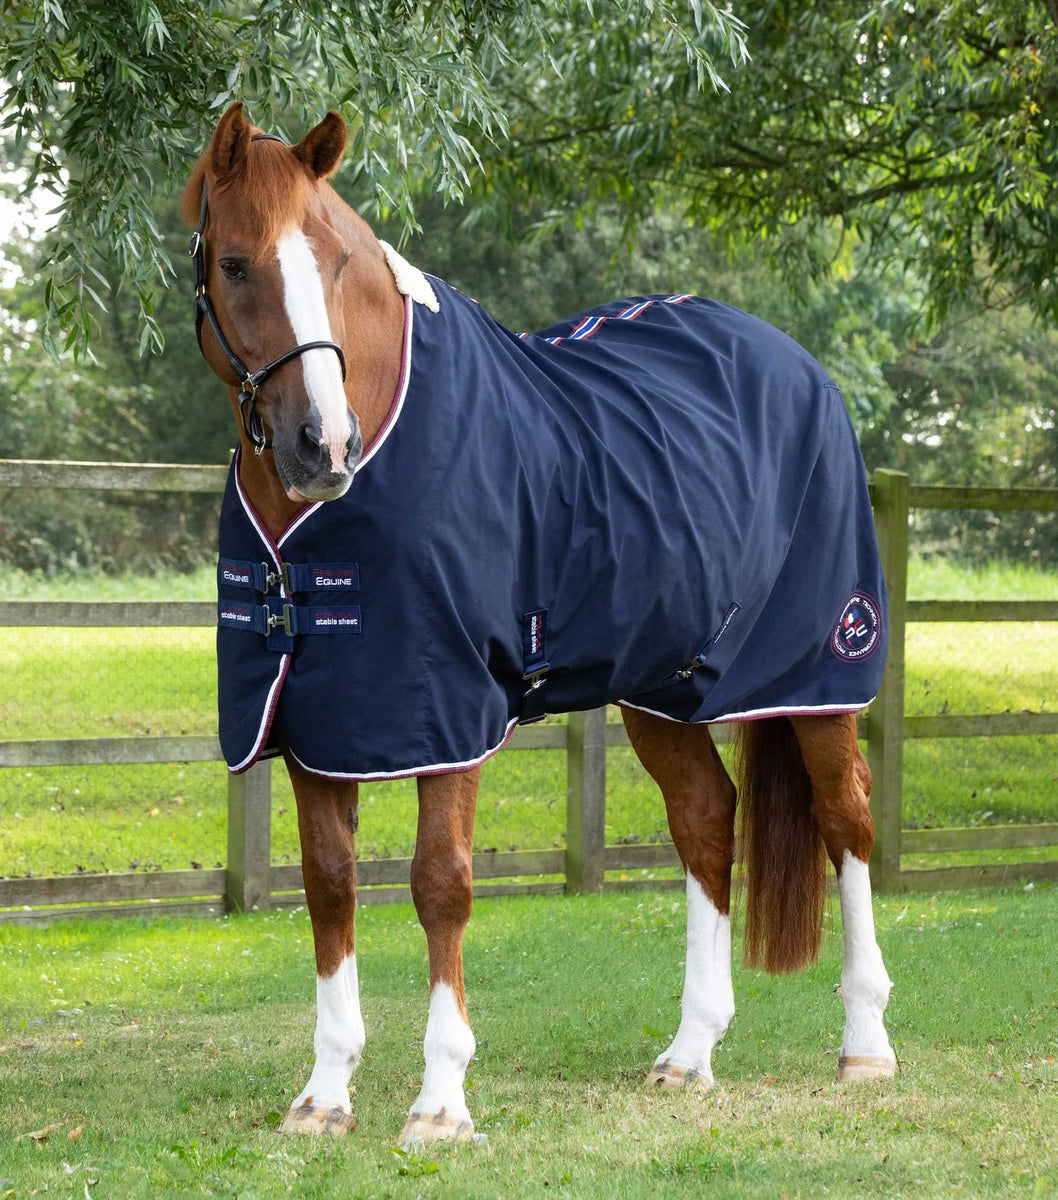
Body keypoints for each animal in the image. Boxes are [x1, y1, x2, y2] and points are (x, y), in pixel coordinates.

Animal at [183, 103, 897, 1144]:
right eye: (235, 264)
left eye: (338, 262)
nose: (326, 447)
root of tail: (797, 365)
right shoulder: (320, 715)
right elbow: (328, 884)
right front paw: (325, 1093)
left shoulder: (445, 710)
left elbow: (440, 883)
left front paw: (441, 1102)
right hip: (661, 685)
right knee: (705, 819)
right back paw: (691, 1051)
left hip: (820, 673)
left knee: (847, 819)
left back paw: (866, 1044)